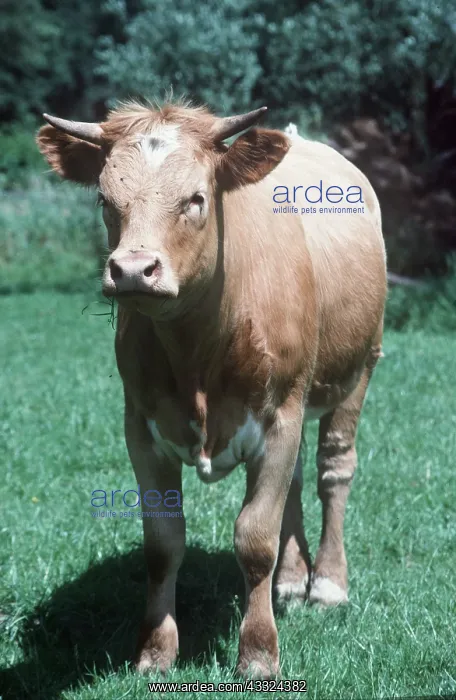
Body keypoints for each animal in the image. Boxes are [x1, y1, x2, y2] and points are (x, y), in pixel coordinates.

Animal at [37, 101, 387, 679]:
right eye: (106, 200)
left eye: (196, 199)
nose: (132, 270)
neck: (197, 349)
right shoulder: (141, 427)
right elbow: (162, 543)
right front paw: (155, 652)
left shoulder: (281, 415)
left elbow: (255, 538)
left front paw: (259, 655)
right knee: (295, 483)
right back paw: (292, 582)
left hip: (358, 370)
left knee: (334, 470)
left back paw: (328, 585)